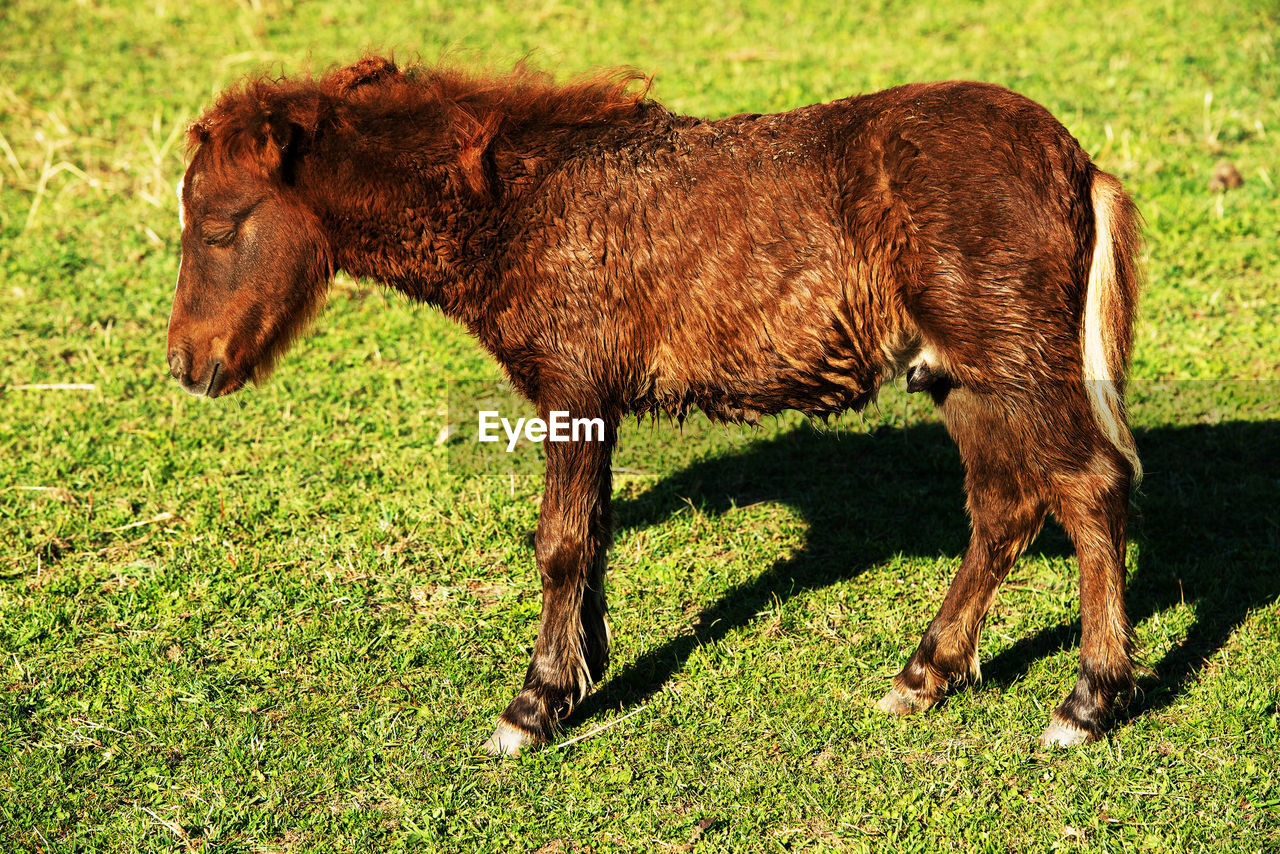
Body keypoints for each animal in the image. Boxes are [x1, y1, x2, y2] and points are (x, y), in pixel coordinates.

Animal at [167, 56, 1141, 752]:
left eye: (218, 227)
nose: (187, 363)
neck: (518, 206)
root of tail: (1076, 162)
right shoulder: (592, 400)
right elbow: (592, 533)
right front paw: (581, 672)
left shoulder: (570, 388)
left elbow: (561, 542)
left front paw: (534, 705)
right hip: (960, 377)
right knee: (1006, 507)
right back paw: (925, 674)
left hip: (1014, 365)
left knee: (1088, 488)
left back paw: (1087, 702)